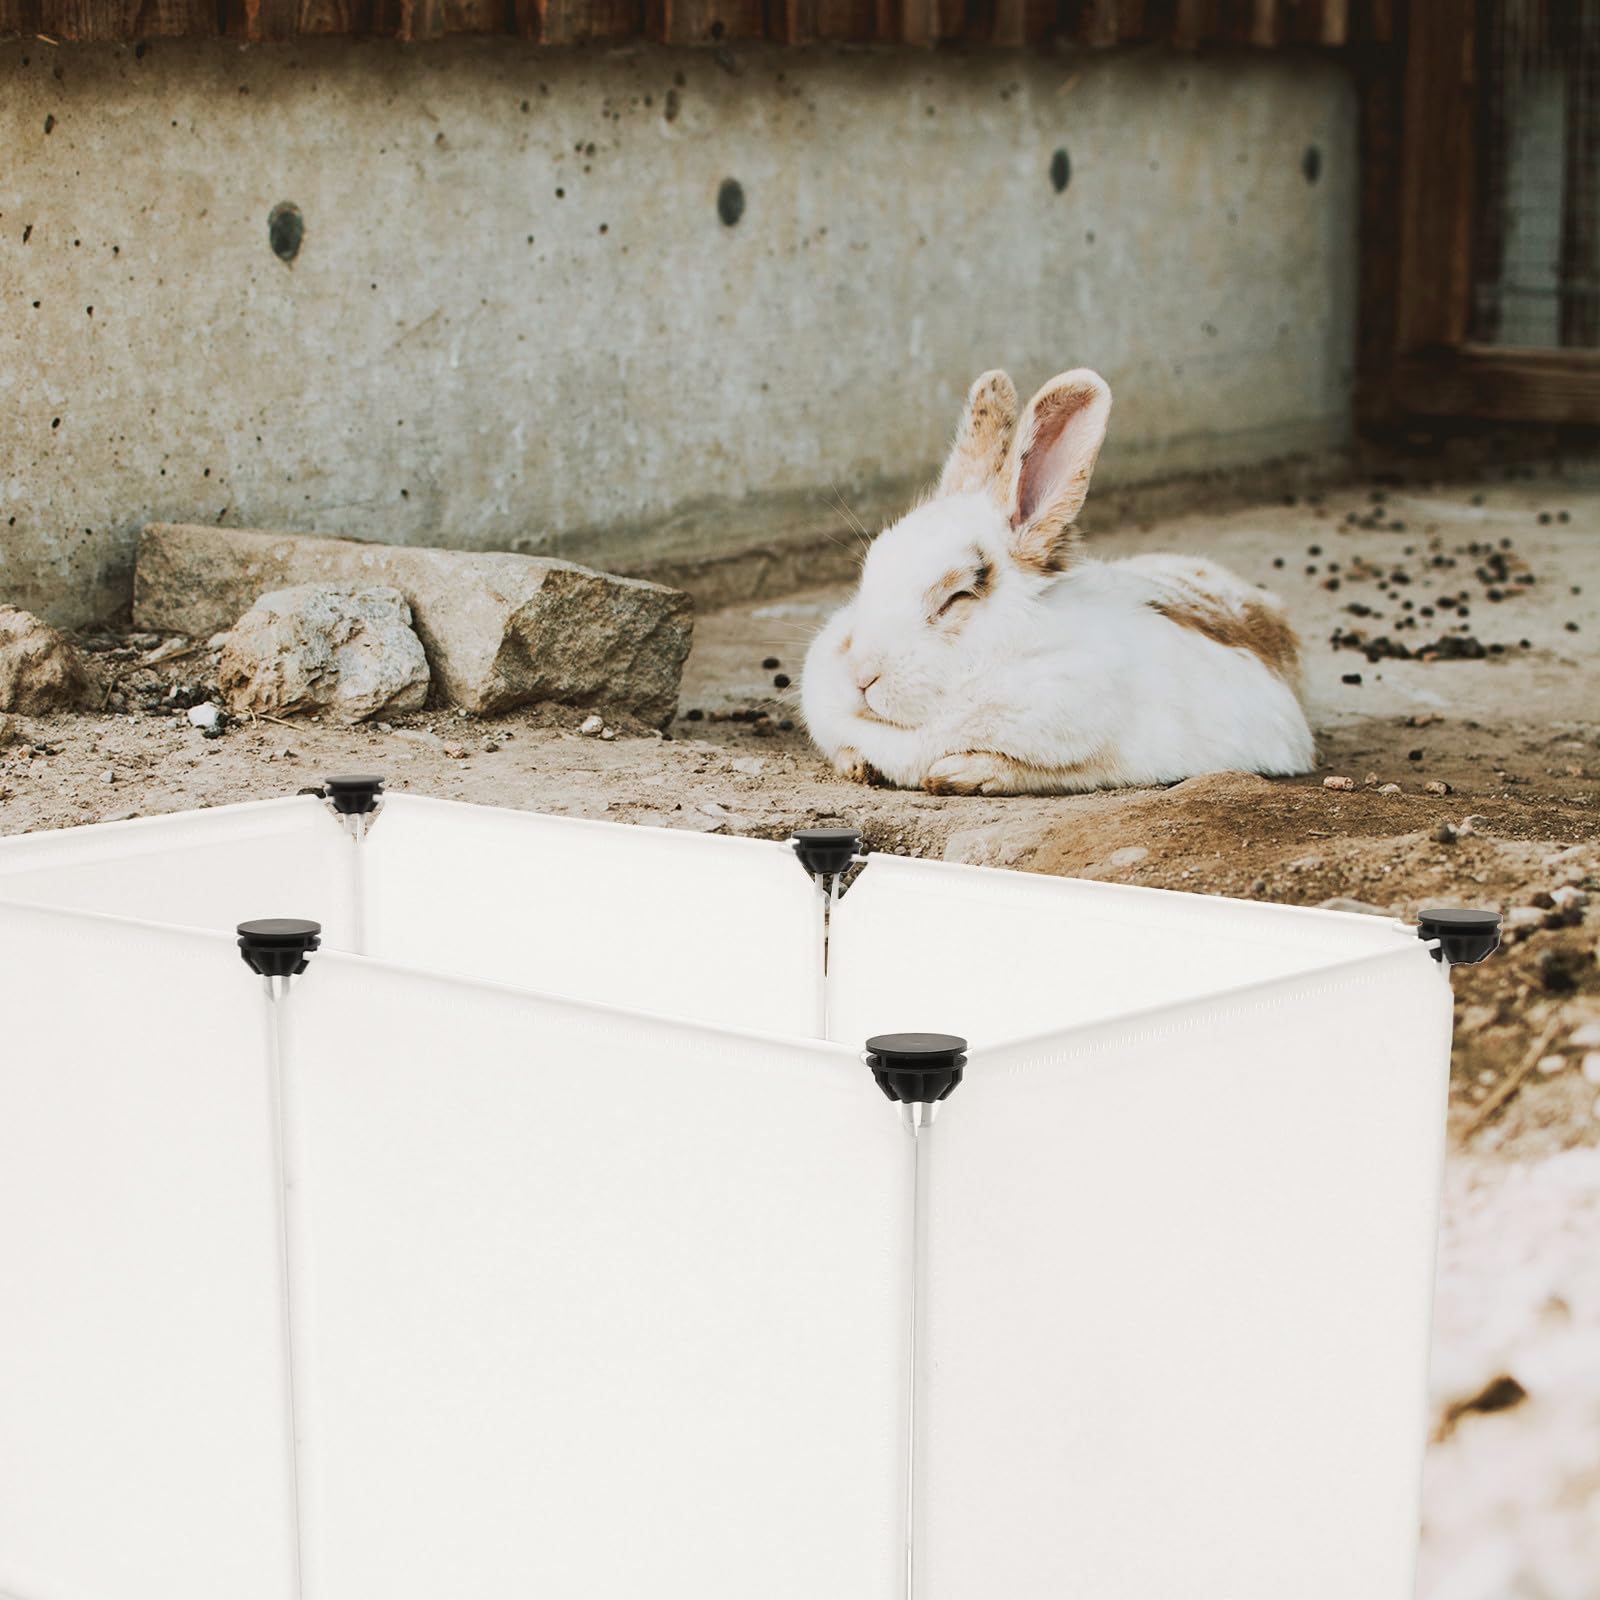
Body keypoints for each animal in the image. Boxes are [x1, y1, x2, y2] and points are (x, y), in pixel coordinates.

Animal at [800, 367, 1316, 795]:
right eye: (869, 572)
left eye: (956, 597)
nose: (860, 675)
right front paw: (856, 765)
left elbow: (1040, 768)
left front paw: (960, 773)